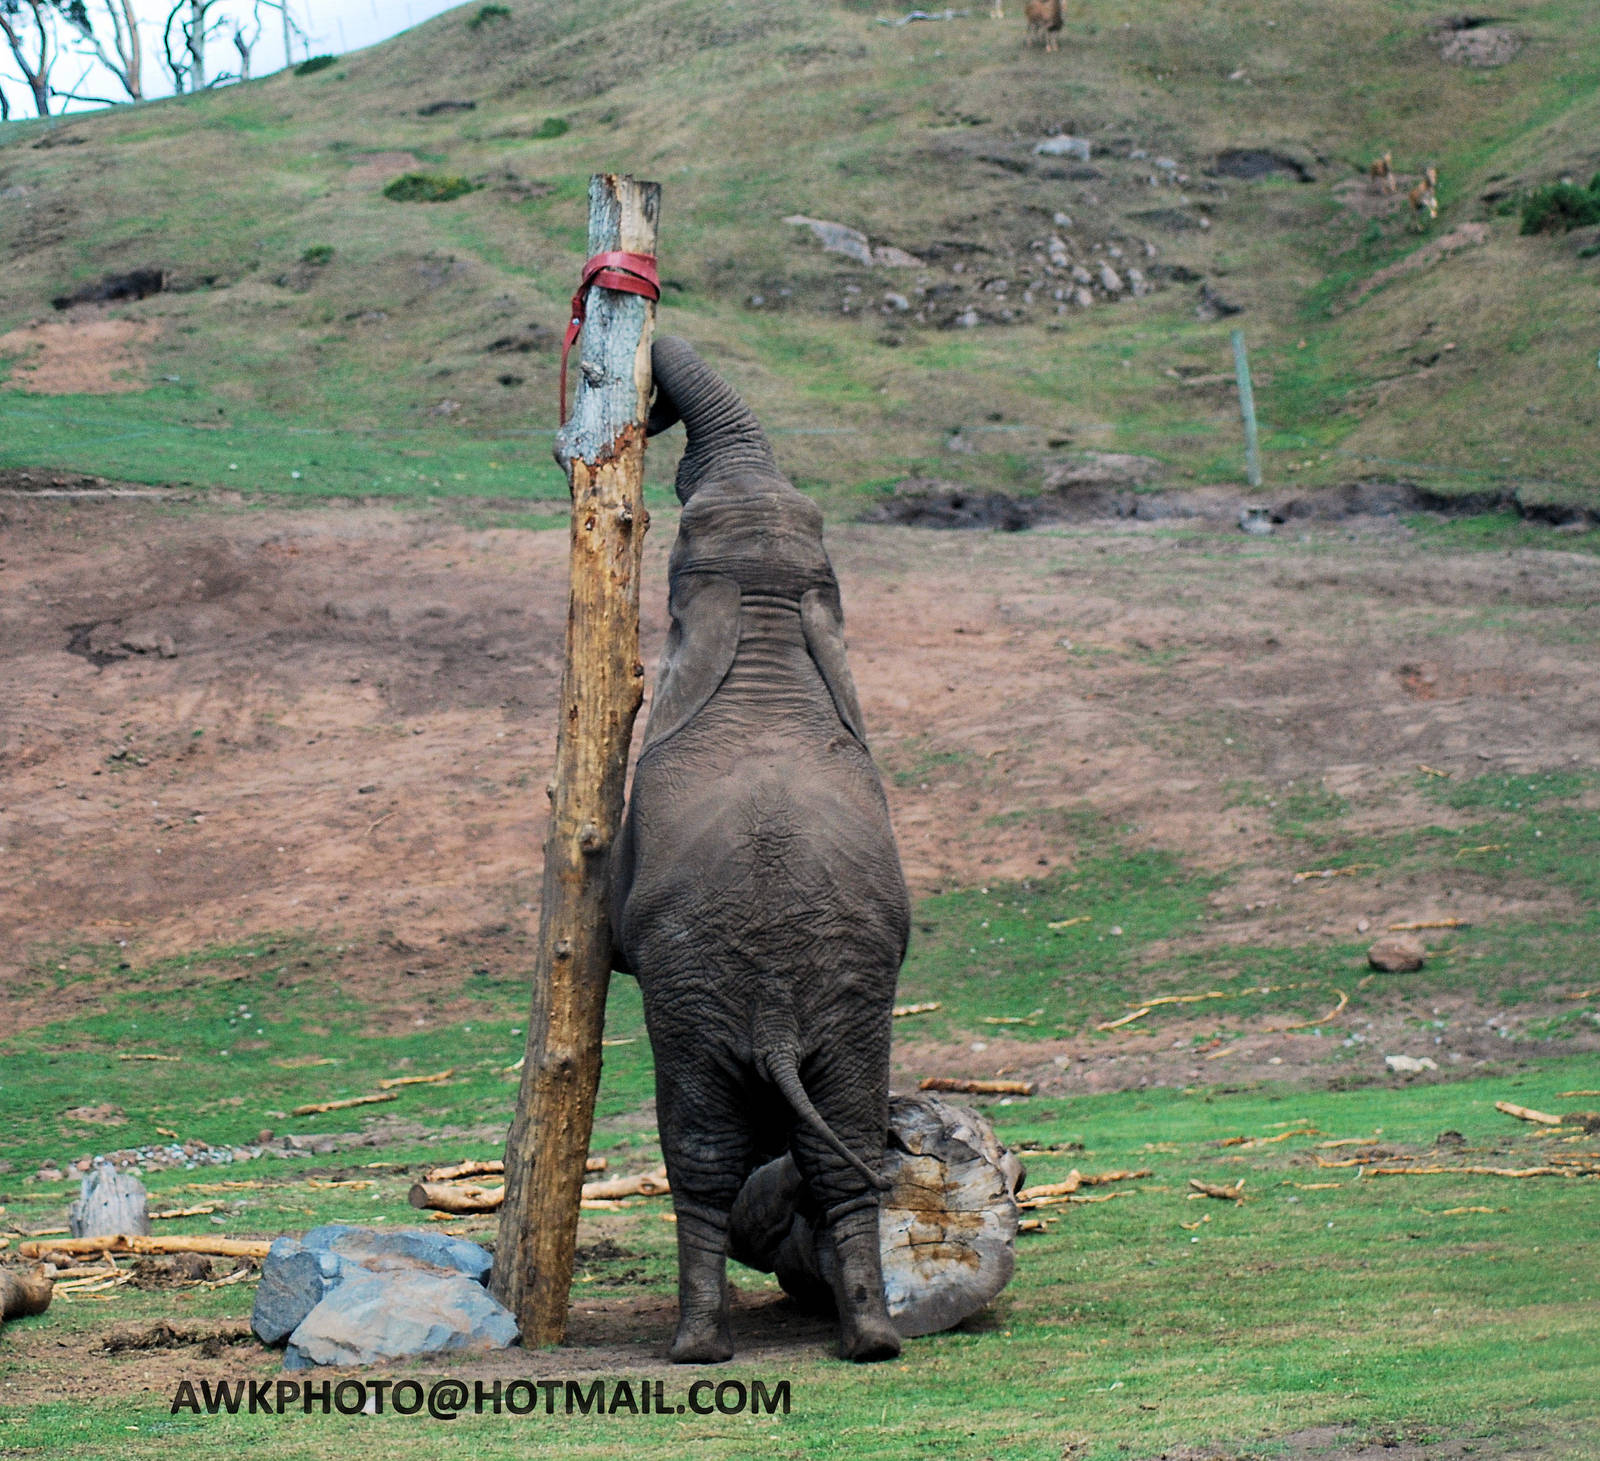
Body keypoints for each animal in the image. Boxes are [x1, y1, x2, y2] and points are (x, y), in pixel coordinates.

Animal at [609, 336, 909, 1364]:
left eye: (679, 545)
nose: (655, 406)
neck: (772, 632)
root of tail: (776, 1016)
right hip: (850, 1013)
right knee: (844, 1148)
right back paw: (872, 1338)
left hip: (695, 1007)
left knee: (698, 1157)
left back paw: (698, 1345)